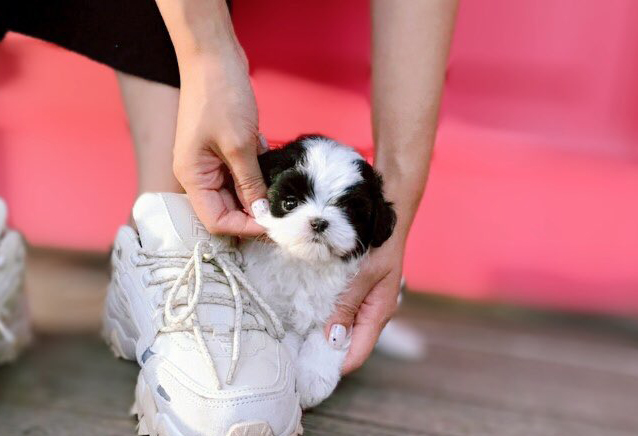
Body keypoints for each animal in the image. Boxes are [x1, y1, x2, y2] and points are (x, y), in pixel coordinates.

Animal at [241, 134, 396, 409]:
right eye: (290, 203)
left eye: (349, 211)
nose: (319, 222)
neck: (307, 263)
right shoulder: (271, 301)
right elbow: (285, 338)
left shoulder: (341, 310)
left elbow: (327, 336)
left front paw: (313, 379)